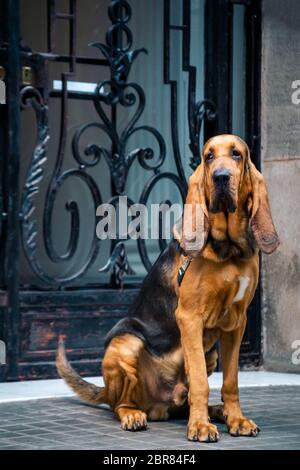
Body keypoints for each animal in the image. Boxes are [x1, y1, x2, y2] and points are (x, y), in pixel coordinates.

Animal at [57, 135, 280, 440]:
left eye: (237, 154)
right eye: (209, 157)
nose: (221, 177)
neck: (228, 252)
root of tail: (160, 405)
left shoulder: (237, 323)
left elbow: (230, 382)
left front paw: (236, 419)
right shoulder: (190, 318)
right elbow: (199, 382)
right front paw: (200, 427)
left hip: (210, 353)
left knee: (185, 401)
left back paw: (216, 411)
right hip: (125, 344)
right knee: (121, 404)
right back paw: (135, 415)